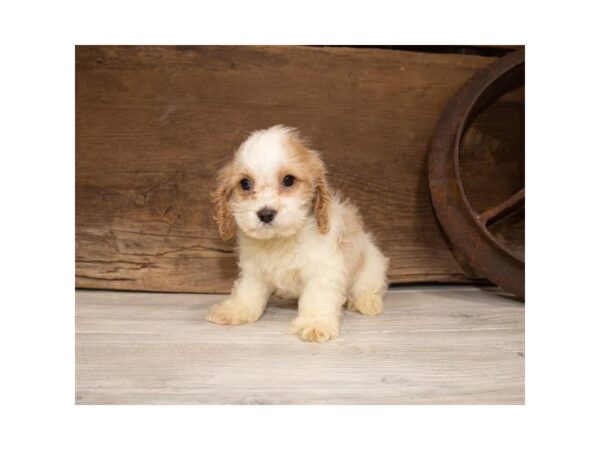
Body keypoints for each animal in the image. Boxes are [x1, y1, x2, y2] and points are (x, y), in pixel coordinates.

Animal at [207, 125, 390, 342]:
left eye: (288, 180)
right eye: (245, 184)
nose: (266, 214)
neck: (280, 239)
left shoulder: (323, 268)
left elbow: (317, 296)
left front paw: (315, 323)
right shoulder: (254, 270)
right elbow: (248, 291)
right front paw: (236, 310)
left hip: (370, 267)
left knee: (369, 288)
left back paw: (366, 302)